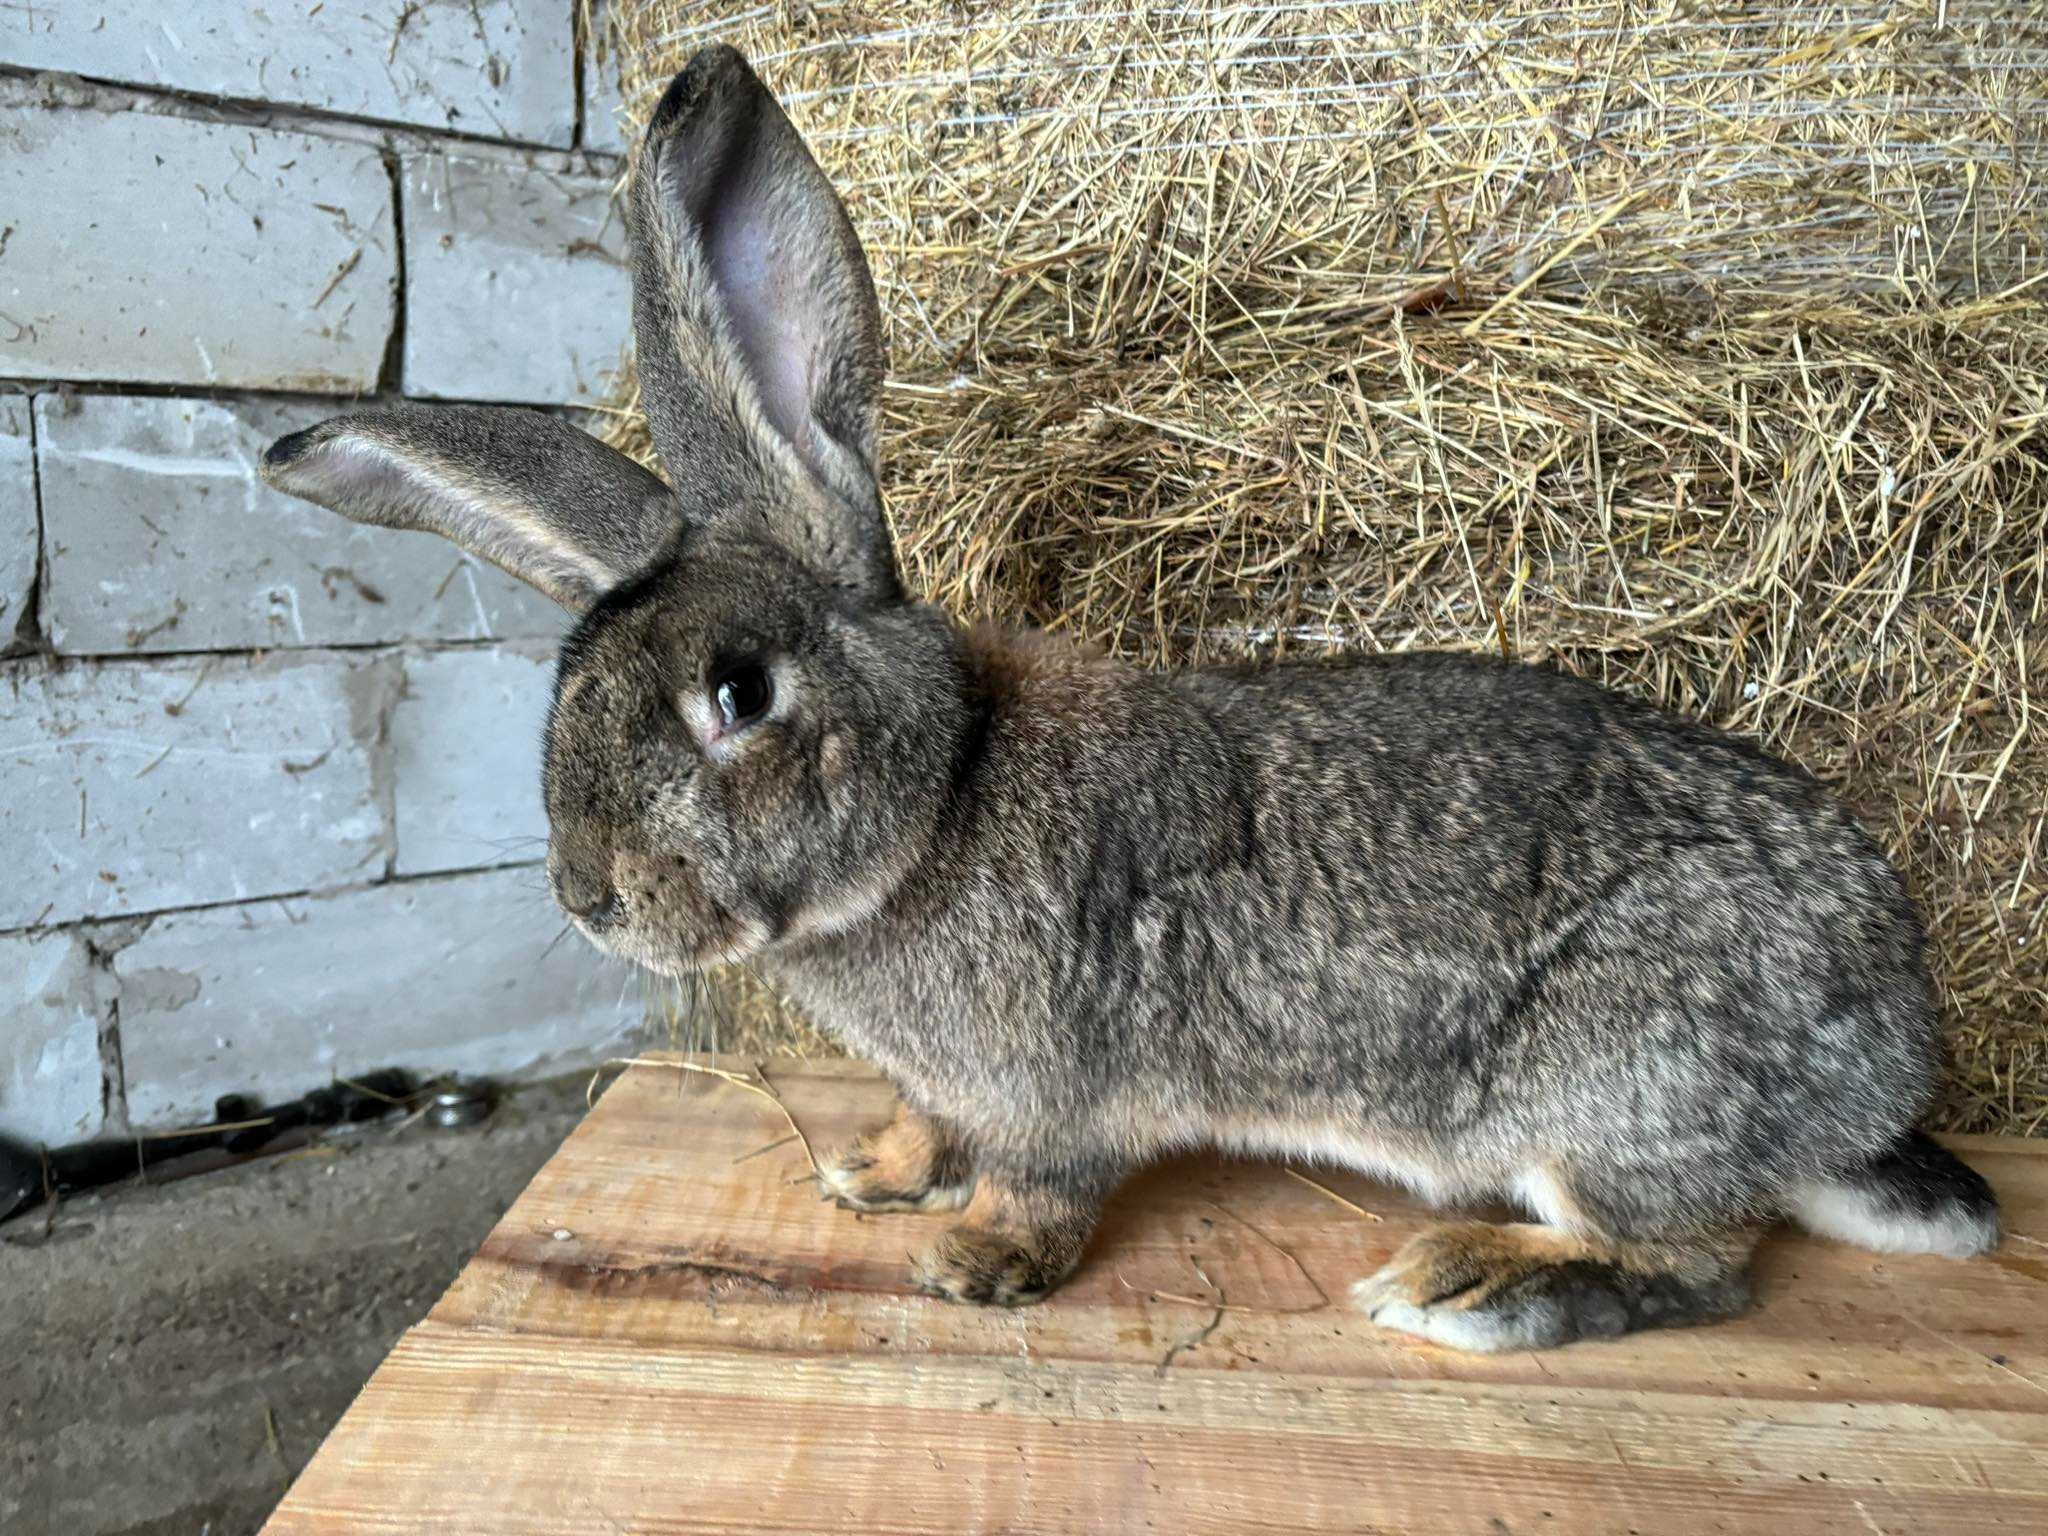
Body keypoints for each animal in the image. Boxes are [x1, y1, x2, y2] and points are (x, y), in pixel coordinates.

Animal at [260, 41, 1998, 1351]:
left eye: (738, 691)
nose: (590, 897)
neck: (941, 802)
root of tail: (1879, 1065)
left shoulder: (1054, 1089)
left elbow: (1042, 1183)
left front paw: (969, 1260)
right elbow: (935, 1128)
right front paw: (881, 1172)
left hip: (1609, 1089)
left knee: (1698, 1262)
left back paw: (1475, 1287)